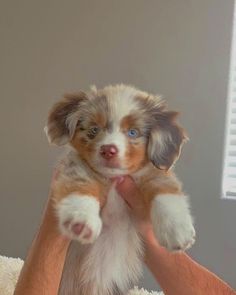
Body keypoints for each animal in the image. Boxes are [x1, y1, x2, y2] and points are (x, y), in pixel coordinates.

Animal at [44, 84, 195, 295]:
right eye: (94, 129)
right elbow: (79, 188)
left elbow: (166, 195)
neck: (114, 179)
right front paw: (81, 220)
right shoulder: (76, 167)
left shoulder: (154, 174)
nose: (108, 150)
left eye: (133, 132)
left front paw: (176, 230)